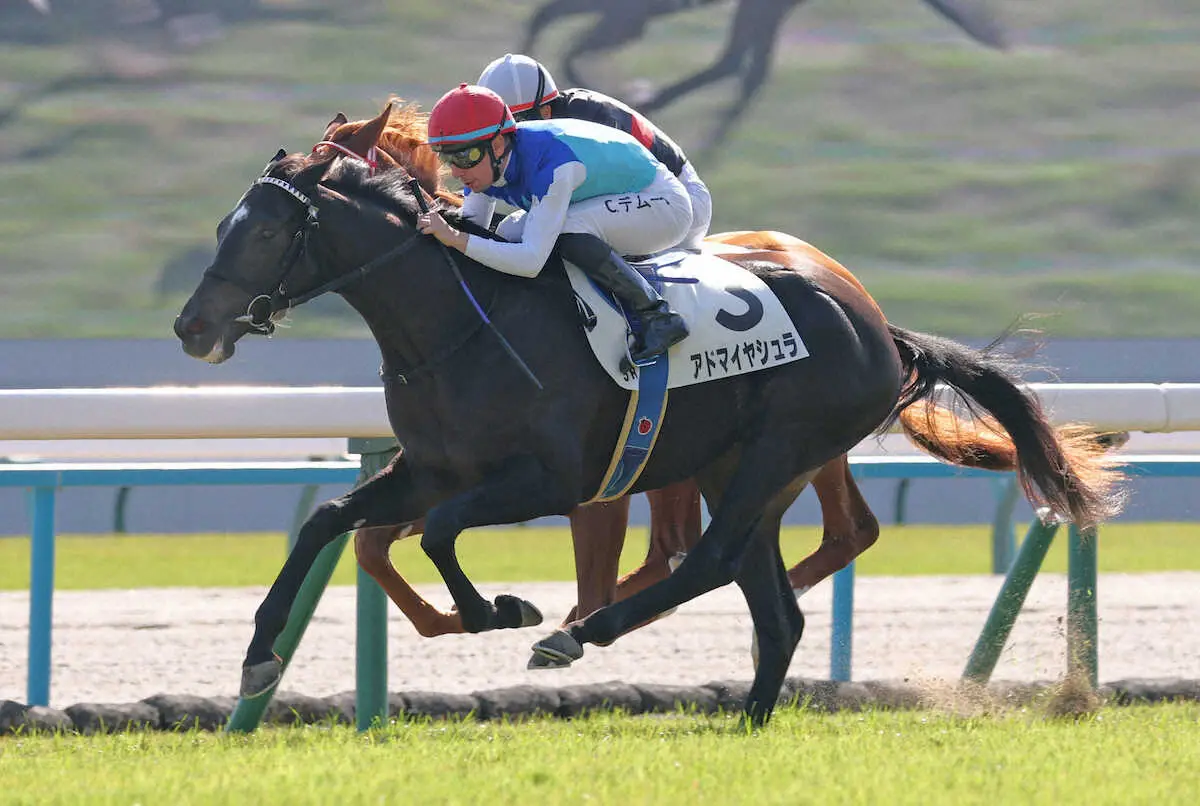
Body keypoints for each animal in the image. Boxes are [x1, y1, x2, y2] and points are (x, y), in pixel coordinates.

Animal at [175, 104, 1123, 725]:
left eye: (266, 234)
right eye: (226, 224)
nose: (193, 328)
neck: (458, 326)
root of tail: (875, 323)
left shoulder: (551, 479)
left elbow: (440, 533)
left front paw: (505, 612)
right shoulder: (432, 469)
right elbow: (329, 519)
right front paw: (258, 659)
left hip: (778, 451)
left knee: (710, 560)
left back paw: (581, 634)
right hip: (734, 464)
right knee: (771, 606)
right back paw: (746, 719)